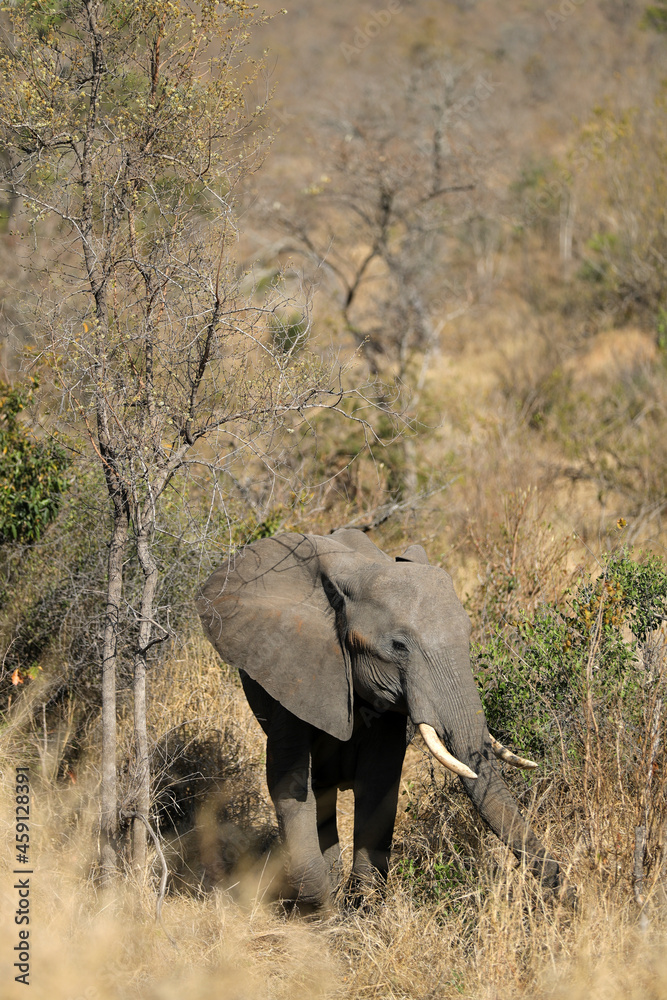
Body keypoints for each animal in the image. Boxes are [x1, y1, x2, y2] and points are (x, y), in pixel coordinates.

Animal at [196, 528, 561, 910]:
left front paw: (360, 908)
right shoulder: (288, 668)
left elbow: (378, 780)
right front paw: (323, 914)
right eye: (399, 646)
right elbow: (289, 781)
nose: (560, 883)